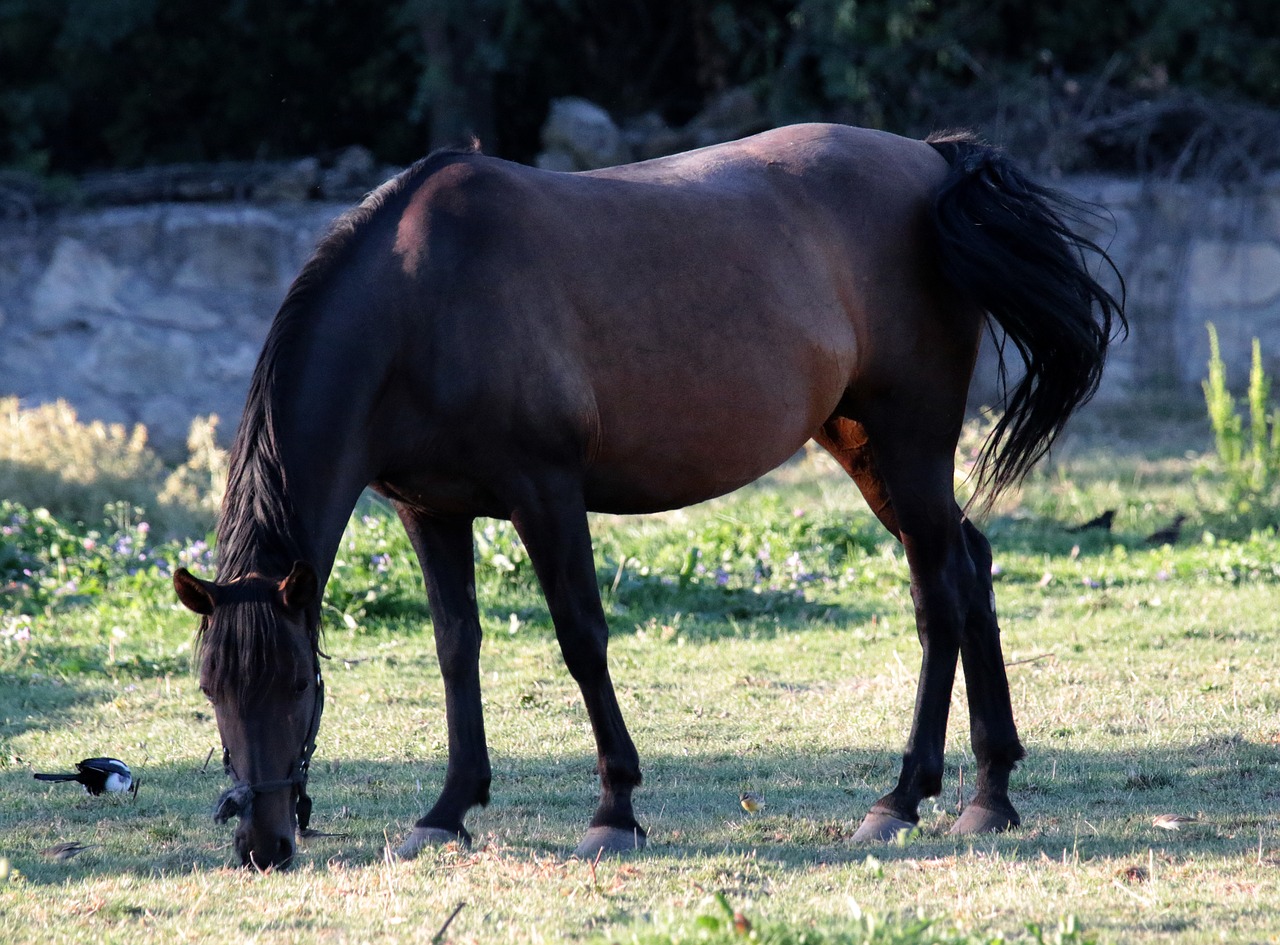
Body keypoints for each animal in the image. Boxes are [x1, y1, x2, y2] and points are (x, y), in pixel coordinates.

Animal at [172, 121, 1121, 865]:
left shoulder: (546, 493)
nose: (263, 843)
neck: (422, 301)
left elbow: (582, 639)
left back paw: (903, 797)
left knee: (938, 593)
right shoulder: (430, 510)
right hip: (863, 444)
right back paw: (988, 794)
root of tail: (930, 161)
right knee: (970, 563)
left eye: (299, 684)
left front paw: (613, 810)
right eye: (211, 689)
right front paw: (446, 810)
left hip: (908, 441)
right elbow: (455, 646)